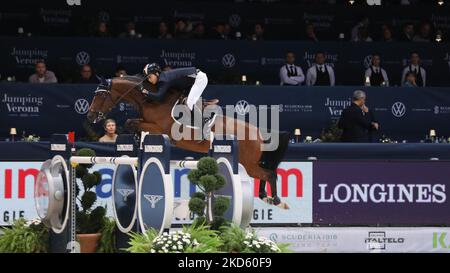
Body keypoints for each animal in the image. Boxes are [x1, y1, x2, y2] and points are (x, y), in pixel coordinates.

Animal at [86, 76, 290, 208]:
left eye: (100, 95)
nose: (90, 116)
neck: (152, 100)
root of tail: (258, 133)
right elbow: (131, 122)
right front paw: (136, 138)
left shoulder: (160, 128)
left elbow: (130, 122)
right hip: (248, 163)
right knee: (265, 174)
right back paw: (265, 196)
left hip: (247, 163)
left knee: (269, 174)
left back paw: (275, 199)